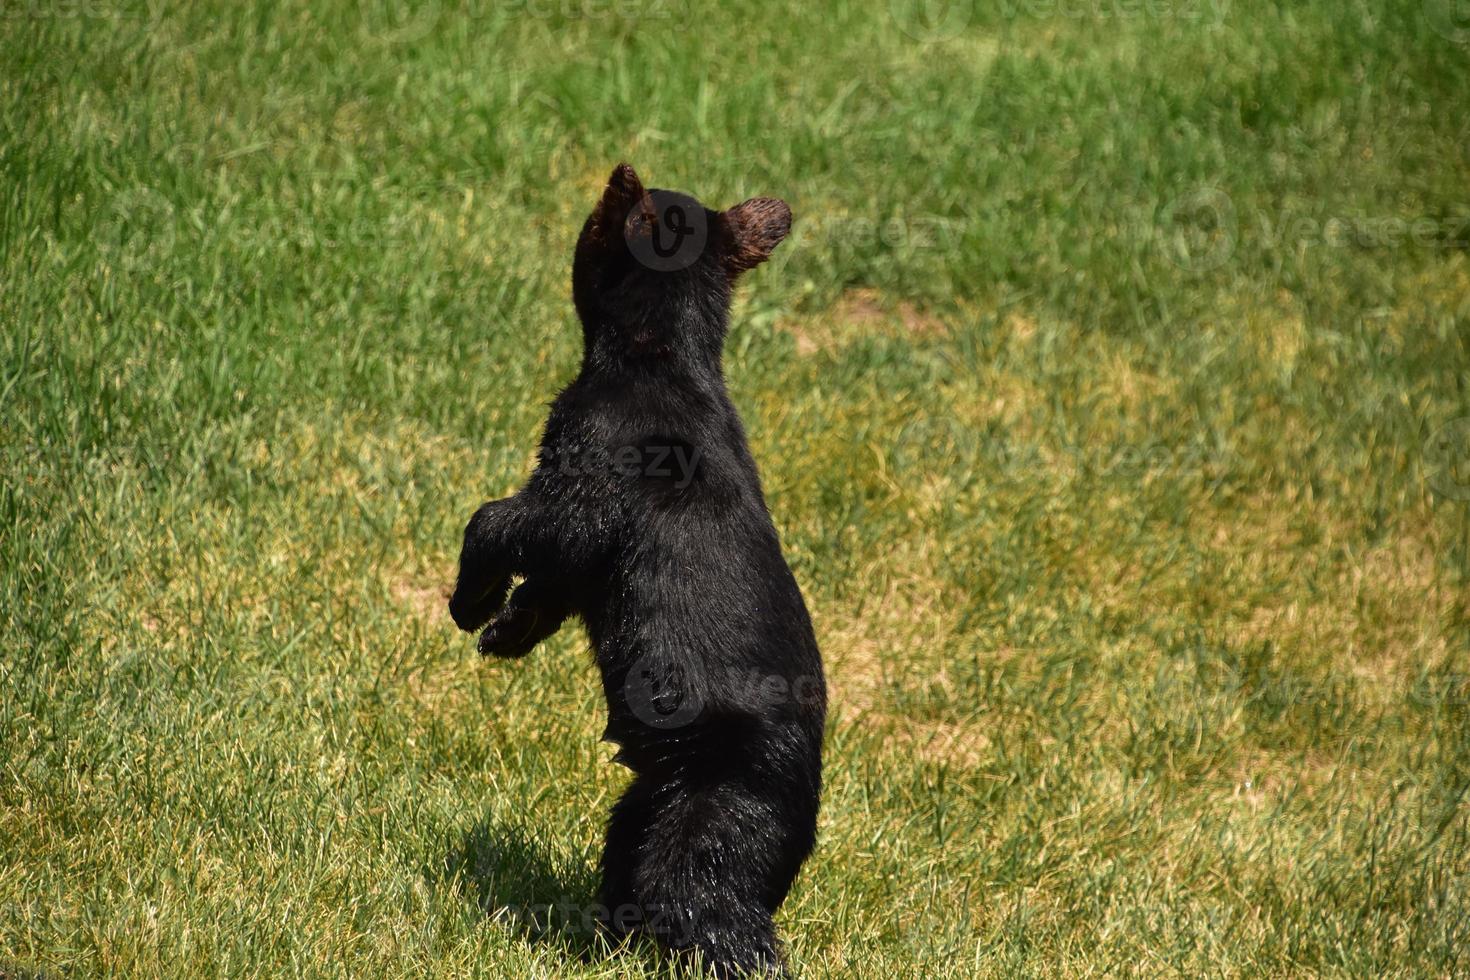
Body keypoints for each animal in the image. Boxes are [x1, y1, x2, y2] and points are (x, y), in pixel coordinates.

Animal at [446, 164, 829, 975]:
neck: (662, 353)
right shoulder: (590, 556)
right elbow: (557, 583)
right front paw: (507, 630)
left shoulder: (590, 462)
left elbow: (518, 523)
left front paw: (471, 601)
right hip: (652, 797)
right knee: (629, 860)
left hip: (713, 814)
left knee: (705, 904)